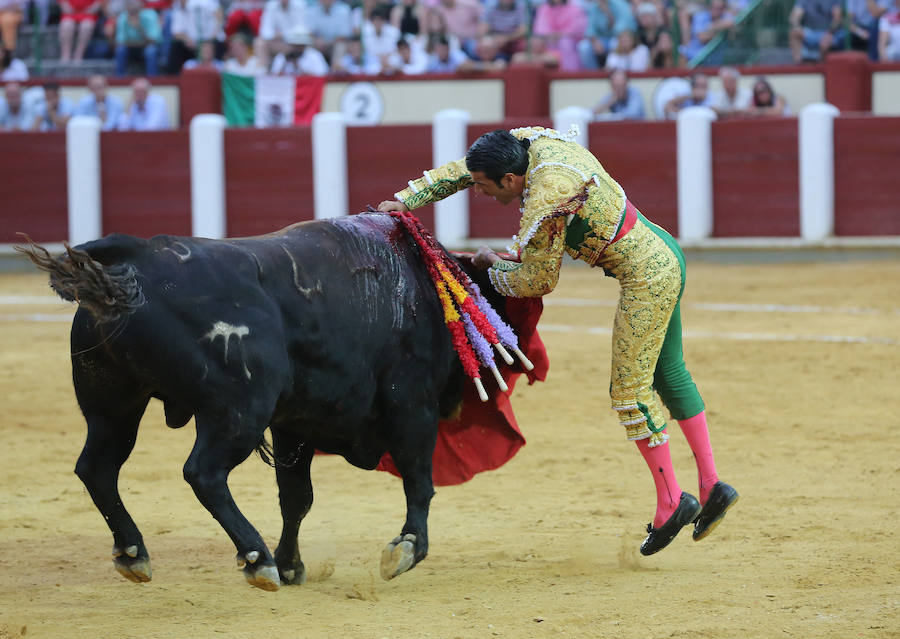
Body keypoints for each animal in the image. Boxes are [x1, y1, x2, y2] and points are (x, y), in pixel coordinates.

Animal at [21, 212, 532, 592]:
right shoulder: (411, 401)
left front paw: (291, 566)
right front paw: (406, 549)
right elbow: (418, 479)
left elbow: (295, 496)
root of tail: (138, 255)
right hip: (238, 410)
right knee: (203, 473)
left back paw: (133, 554)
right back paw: (255, 559)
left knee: (97, 468)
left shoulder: (295, 422)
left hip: (113, 404)